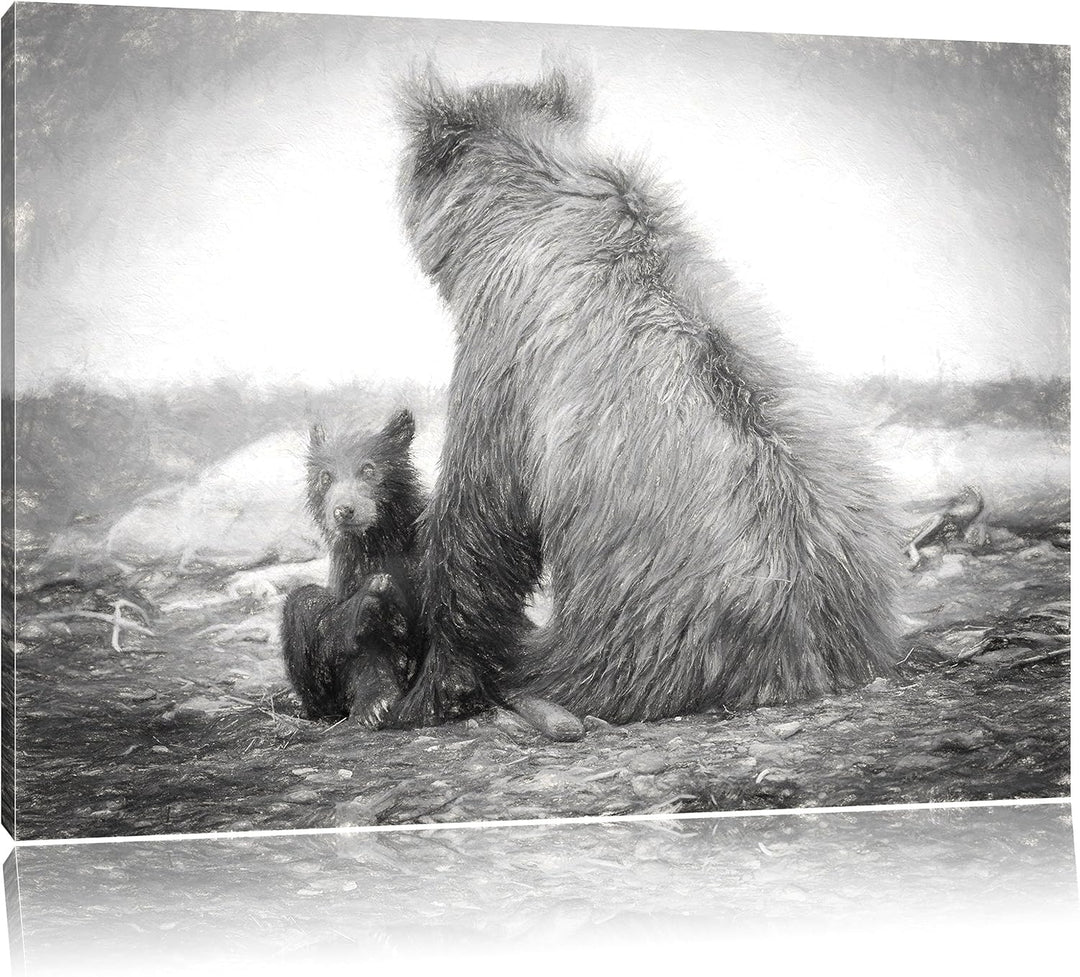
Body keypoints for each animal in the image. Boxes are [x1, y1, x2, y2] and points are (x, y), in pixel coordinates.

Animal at [281, 408, 424, 727]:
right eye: (326, 477)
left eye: (368, 469)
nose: (344, 510)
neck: (377, 540)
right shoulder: (348, 570)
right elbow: (357, 643)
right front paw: (374, 704)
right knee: (303, 601)